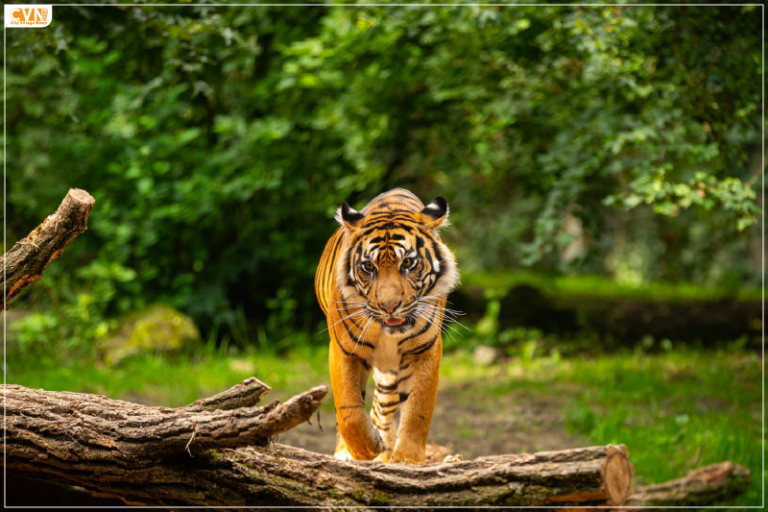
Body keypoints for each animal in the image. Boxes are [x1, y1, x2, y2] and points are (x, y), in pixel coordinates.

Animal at [315, 188, 459, 464]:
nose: (389, 306)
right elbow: (349, 411)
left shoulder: (425, 351)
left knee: (382, 409)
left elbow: (418, 408)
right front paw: (364, 449)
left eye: (408, 263)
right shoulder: (344, 351)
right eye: (368, 266)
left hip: (390, 376)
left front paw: (407, 459)